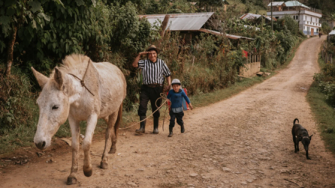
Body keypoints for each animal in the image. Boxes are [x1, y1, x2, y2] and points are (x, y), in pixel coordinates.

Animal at [31, 53, 126, 184]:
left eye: (55, 106)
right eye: (39, 105)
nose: (39, 143)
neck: (81, 93)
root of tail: (118, 70)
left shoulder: (92, 116)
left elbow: (86, 143)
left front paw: (87, 170)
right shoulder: (73, 119)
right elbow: (75, 145)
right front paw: (73, 174)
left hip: (114, 112)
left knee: (108, 132)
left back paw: (104, 160)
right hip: (105, 113)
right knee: (111, 131)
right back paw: (113, 147)